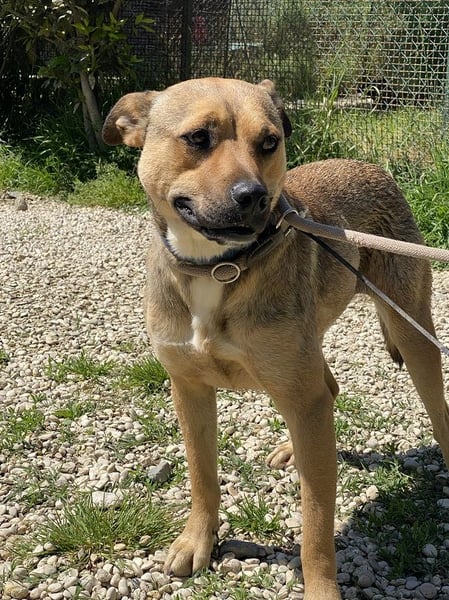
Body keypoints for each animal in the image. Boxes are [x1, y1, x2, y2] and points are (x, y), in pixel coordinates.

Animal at [102, 77, 449, 599]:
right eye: (198, 137)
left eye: (269, 142)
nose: (253, 196)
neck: (216, 266)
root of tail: (372, 166)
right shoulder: (189, 389)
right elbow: (202, 477)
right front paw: (197, 541)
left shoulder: (301, 397)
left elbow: (316, 526)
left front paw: (321, 589)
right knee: (328, 388)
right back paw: (291, 447)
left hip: (411, 335)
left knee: (434, 412)